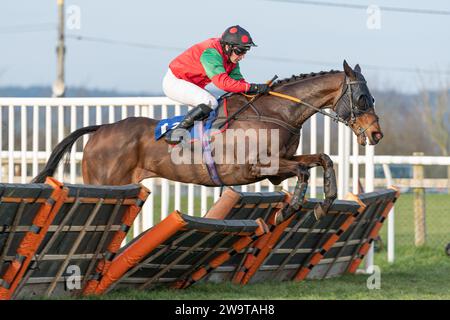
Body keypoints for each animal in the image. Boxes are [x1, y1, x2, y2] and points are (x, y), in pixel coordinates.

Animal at [32, 62, 384, 221]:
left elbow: (322, 159)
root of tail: (102, 128)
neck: (276, 112)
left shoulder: (275, 170)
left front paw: (325, 203)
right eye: (363, 98)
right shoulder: (255, 168)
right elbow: (303, 171)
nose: (376, 134)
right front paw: (290, 209)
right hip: (106, 183)